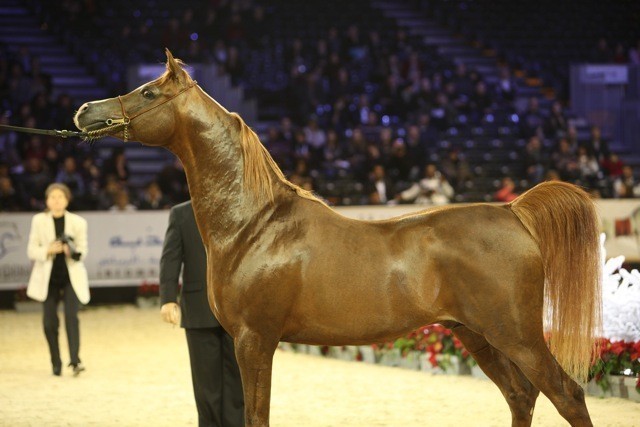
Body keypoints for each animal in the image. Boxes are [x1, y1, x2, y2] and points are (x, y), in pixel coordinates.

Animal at [74, 49, 602, 427]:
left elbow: (257, 415)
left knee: (567, 396)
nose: (83, 111)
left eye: (147, 92)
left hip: (517, 335)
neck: (253, 224)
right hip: (475, 334)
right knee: (521, 396)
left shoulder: (254, 340)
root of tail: (514, 212)